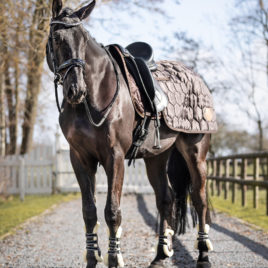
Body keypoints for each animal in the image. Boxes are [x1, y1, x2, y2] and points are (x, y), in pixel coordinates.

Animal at [46, 0, 216, 268]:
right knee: (165, 199)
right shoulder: (80, 158)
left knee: (199, 200)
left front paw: (114, 258)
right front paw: (92, 258)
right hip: (157, 157)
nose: (76, 89)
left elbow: (112, 211)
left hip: (196, 153)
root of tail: (197, 78)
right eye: (56, 37)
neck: (94, 97)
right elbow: (89, 211)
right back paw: (160, 255)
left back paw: (203, 255)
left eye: (83, 39)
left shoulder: (114, 157)